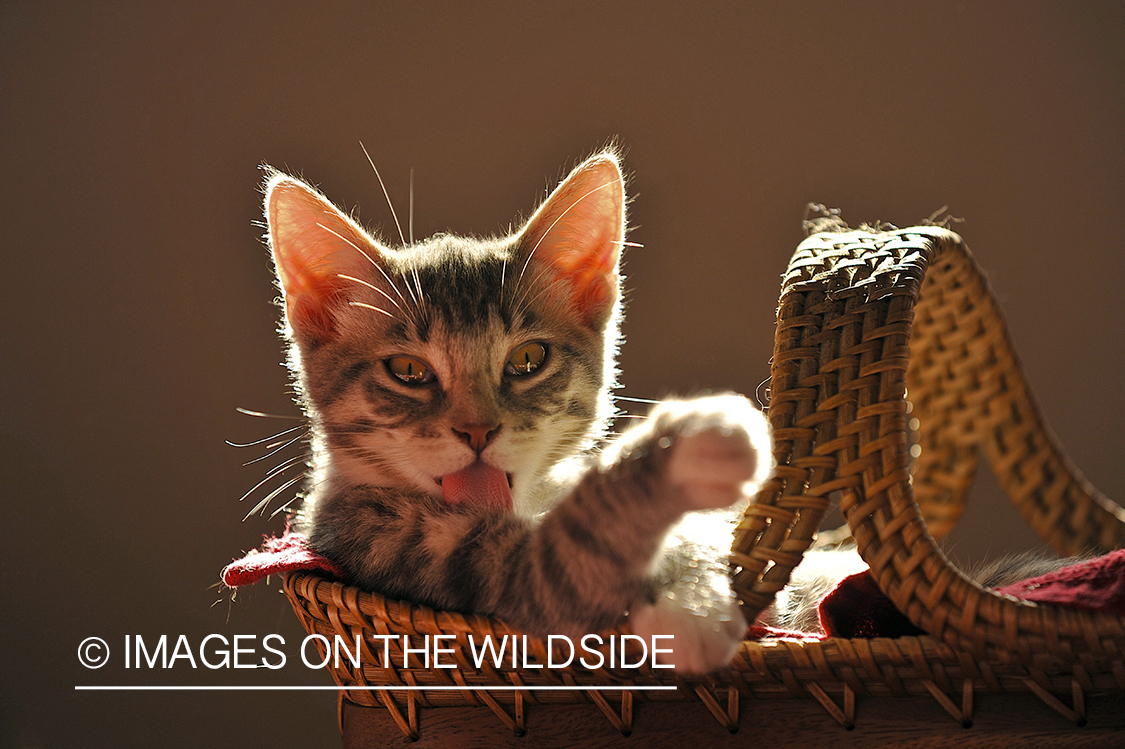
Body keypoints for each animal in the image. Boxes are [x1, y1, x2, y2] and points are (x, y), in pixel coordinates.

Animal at [264, 152, 774, 670]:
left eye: (528, 359)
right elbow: (565, 559)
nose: (477, 431)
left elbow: (702, 534)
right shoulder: (392, 545)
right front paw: (681, 450)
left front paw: (696, 597)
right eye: (407, 369)